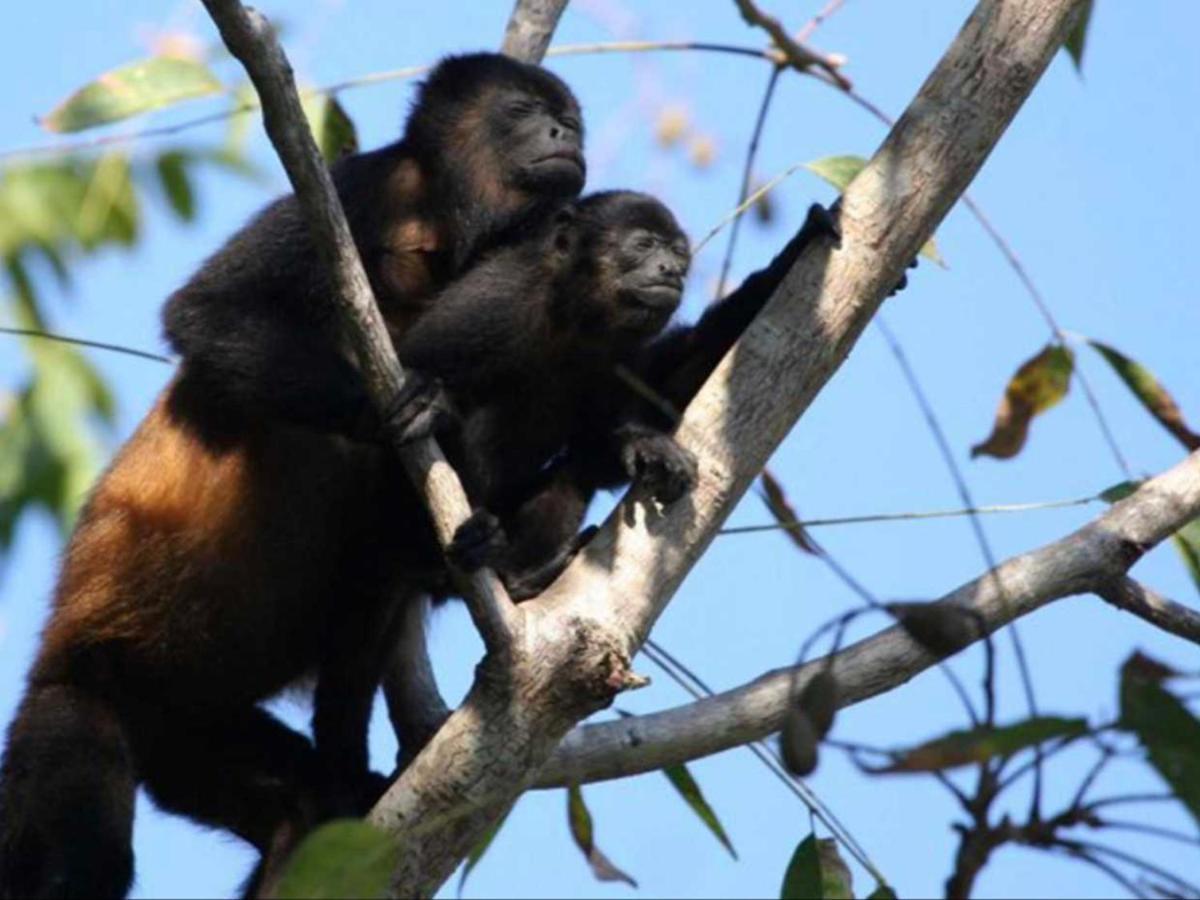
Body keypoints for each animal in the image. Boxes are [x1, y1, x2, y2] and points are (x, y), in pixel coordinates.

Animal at [0, 51, 585, 900]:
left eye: (569, 121)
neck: (443, 227)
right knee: (87, 857)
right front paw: (398, 409)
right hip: (77, 706)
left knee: (297, 794)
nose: (561, 135)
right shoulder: (357, 191)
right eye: (521, 110)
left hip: (192, 735)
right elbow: (207, 311)